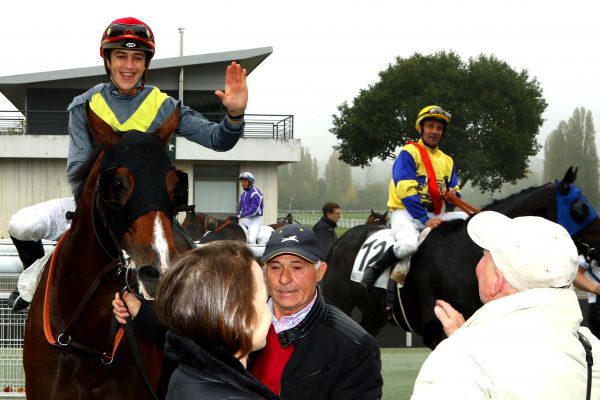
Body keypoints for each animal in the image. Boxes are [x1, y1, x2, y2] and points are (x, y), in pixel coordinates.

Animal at [322, 167, 600, 348]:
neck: (467, 255)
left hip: (373, 314)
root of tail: (339, 242)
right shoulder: (437, 331)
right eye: (581, 207)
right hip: (339, 303)